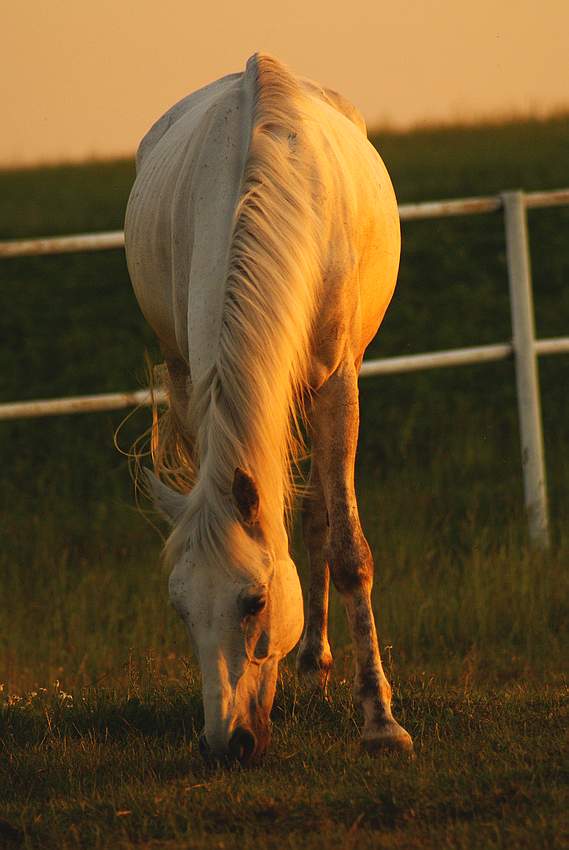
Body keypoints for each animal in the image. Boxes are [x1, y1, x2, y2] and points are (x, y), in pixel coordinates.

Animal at [124, 51, 410, 760]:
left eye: (254, 602)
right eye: (180, 610)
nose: (225, 743)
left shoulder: (338, 383)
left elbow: (349, 550)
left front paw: (381, 722)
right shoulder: (195, 382)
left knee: (317, 516)